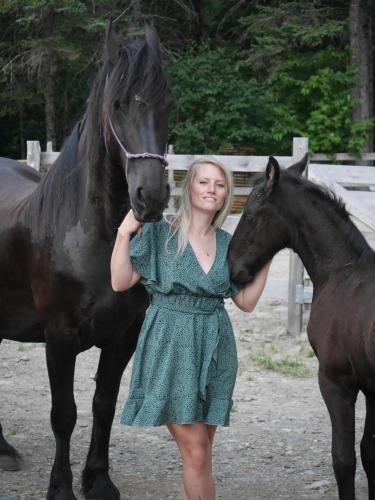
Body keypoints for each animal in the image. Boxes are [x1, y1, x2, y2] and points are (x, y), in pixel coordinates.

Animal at [0, 22, 173, 500]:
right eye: (117, 104)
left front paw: (98, 480)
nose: (151, 197)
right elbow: (64, 413)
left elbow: (103, 406)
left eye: (167, 104)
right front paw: (60, 487)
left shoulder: (123, 337)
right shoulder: (59, 338)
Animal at [228, 154, 375, 498]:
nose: (232, 269)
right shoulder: (372, 390)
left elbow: (344, 459)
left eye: (251, 216)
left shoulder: (336, 381)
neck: (343, 273)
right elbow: (370, 453)